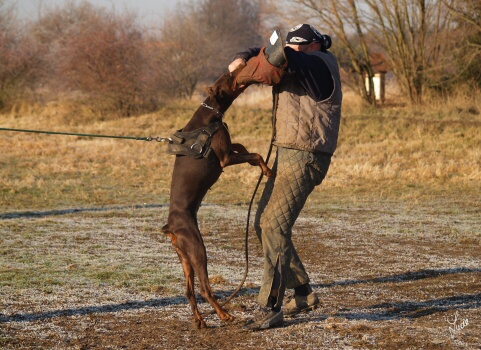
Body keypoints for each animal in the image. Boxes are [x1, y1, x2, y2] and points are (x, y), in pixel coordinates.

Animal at [162, 67, 272, 330]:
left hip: (184, 257)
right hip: (197, 248)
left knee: (189, 291)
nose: (239, 67)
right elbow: (256, 154)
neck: (210, 113)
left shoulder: (230, 149)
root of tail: (171, 227)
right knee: (204, 288)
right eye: (230, 78)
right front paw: (267, 170)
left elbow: (243, 147)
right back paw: (224, 315)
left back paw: (201, 320)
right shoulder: (224, 158)